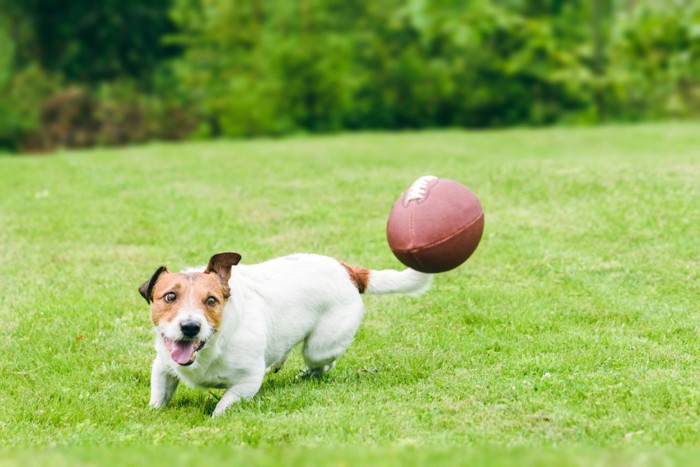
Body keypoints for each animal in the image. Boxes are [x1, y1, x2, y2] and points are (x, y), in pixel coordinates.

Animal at [137, 252, 432, 416]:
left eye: (211, 301)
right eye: (170, 296)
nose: (190, 327)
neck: (211, 348)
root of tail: (348, 271)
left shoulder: (247, 381)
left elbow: (225, 405)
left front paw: (216, 418)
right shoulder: (163, 366)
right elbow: (159, 395)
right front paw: (153, 413)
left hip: (319, 347)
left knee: (324, 361)